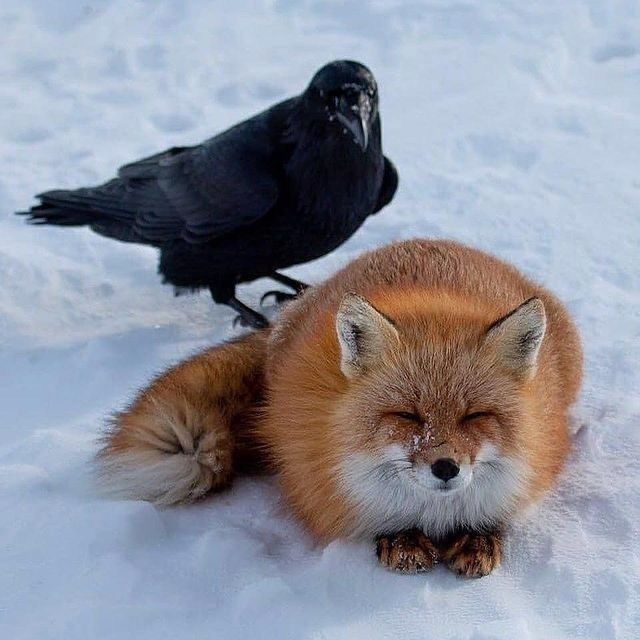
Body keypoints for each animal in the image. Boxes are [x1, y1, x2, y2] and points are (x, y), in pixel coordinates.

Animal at [98, 239, 582, 577]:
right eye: (406, 415)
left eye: (475, 415)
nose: (445, 467)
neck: (434, 515)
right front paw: (401, 538)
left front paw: (479, 534)